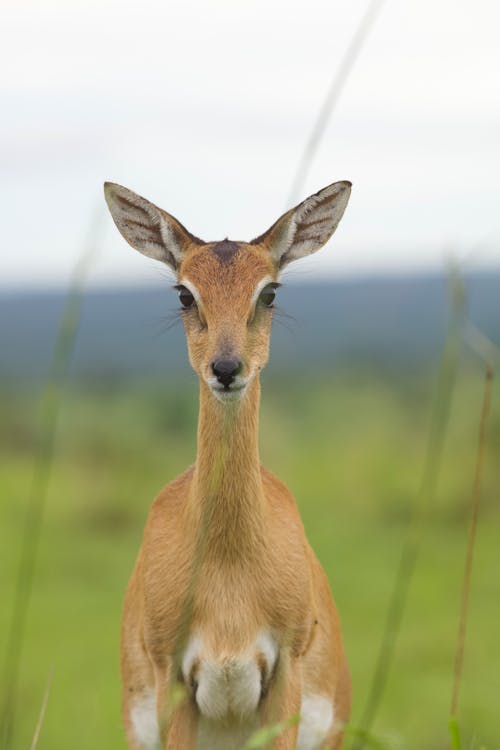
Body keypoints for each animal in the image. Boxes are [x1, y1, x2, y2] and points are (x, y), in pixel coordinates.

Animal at [103, 178, 352, 750]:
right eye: (184, 293)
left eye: (270, 291)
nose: (226, 367)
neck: (229, 566)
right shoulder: (172, 674)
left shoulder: (284, 669)